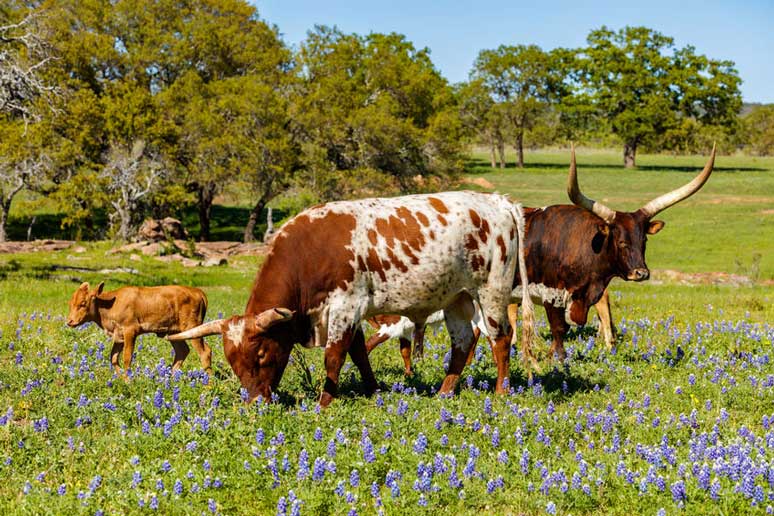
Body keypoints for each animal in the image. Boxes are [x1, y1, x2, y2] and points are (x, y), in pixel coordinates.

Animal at [66, 282, 211, 374]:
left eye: (83, 303)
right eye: (70, 303)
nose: (70, 321)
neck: (110, 304)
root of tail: (197, 292)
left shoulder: (130, 331)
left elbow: (127, 358)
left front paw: (128, 381)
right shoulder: (119, 336)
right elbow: (113, 358)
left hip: (193, 329)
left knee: (205, 352)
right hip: (175, 333)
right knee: (182, 351)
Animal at [167, 192, 536, 408]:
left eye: (260, 353)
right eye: (231, 359)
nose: (255, 404)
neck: (308, 253)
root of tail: (499, 201)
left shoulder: (345, 307)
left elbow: (334, 356)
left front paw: (324, 402)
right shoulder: (352, 313)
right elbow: (359, 353)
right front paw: (373, 390)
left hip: (490, 290)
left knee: (500, 338)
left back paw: (502, 392)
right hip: (457, 298)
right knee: (462, 343)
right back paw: (445, 392)